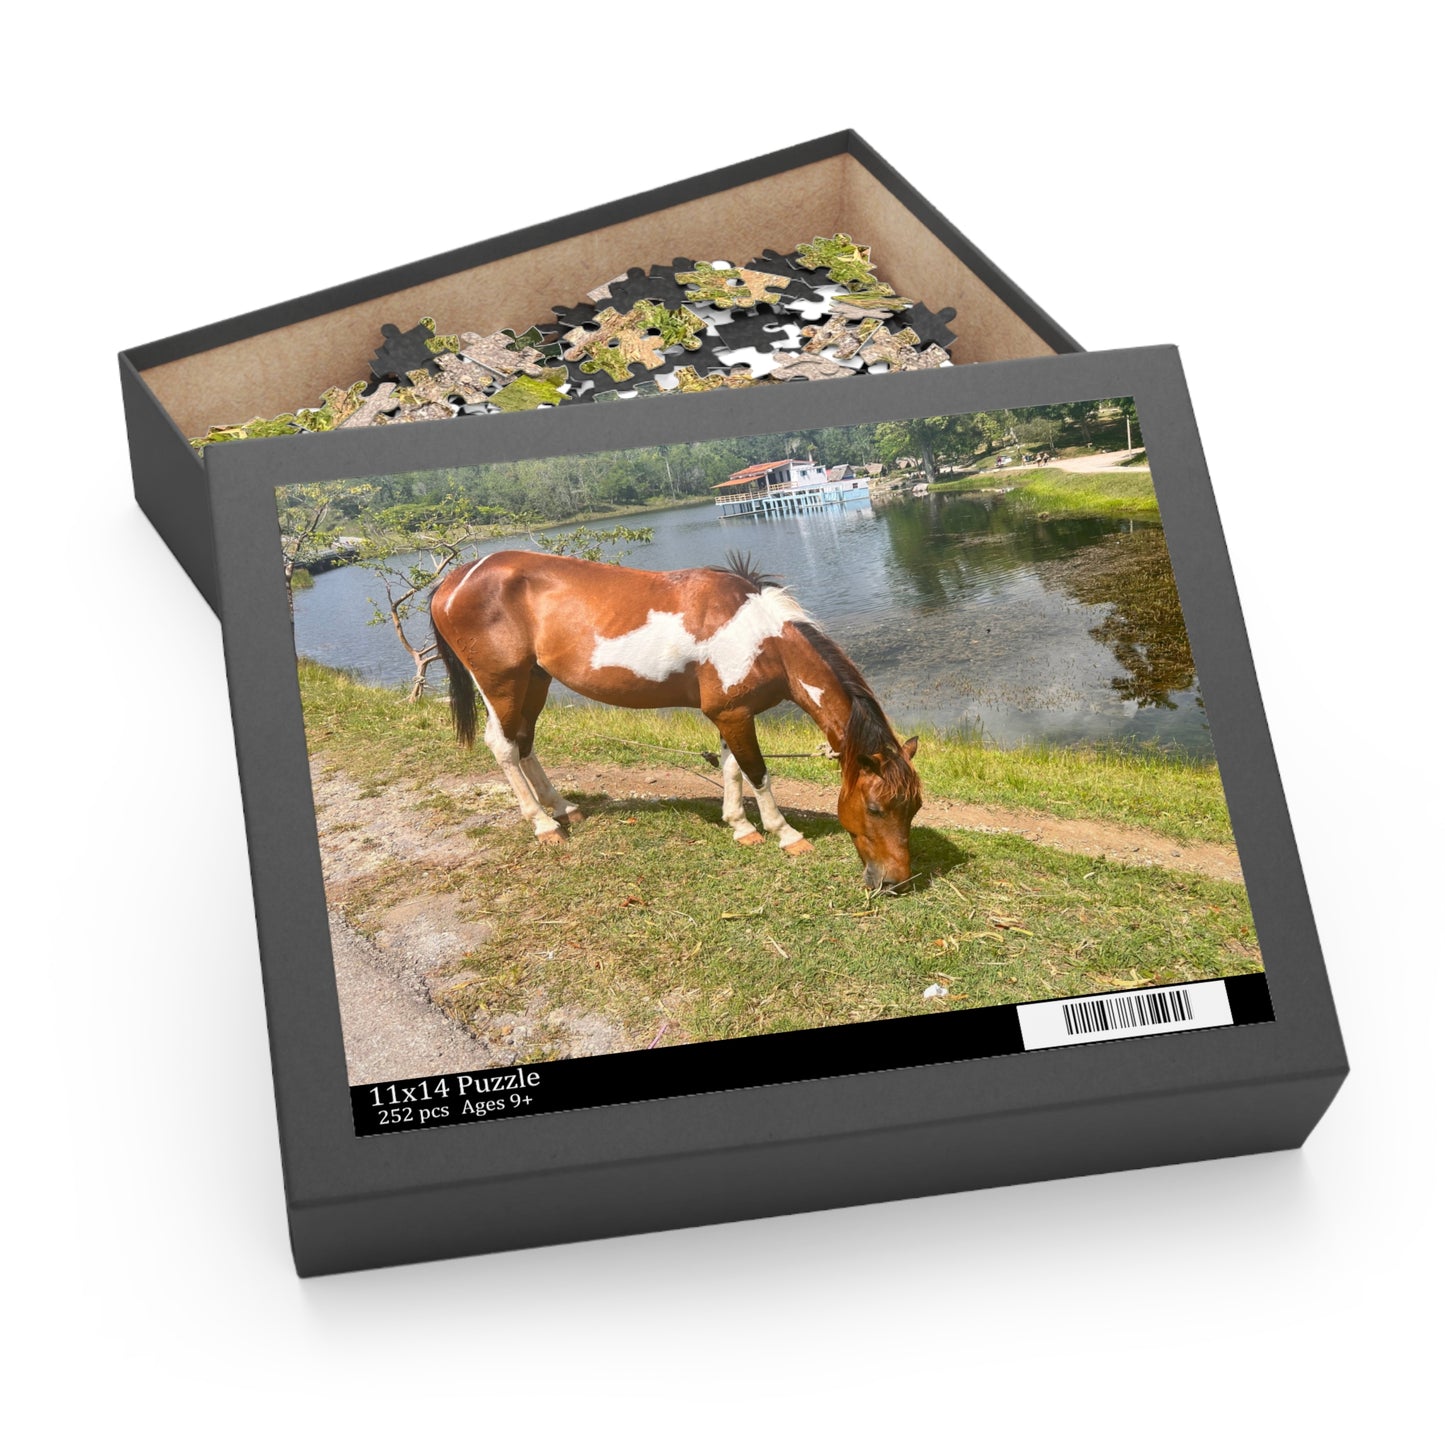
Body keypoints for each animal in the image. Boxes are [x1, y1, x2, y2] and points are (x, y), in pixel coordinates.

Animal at [430, 551, 922, 890]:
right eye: (875, 808)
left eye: (915, 807)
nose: (895, 882)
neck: (762, 638)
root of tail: (454, 580)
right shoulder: (734, 716)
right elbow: (758, 773)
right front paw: (786, 835)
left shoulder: (730, 713)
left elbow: (731, 768)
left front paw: (740, 827)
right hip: (502, 685)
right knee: (504, 746)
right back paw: (543, 825)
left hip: (536, 680)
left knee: (525, 742)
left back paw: (563, 808)